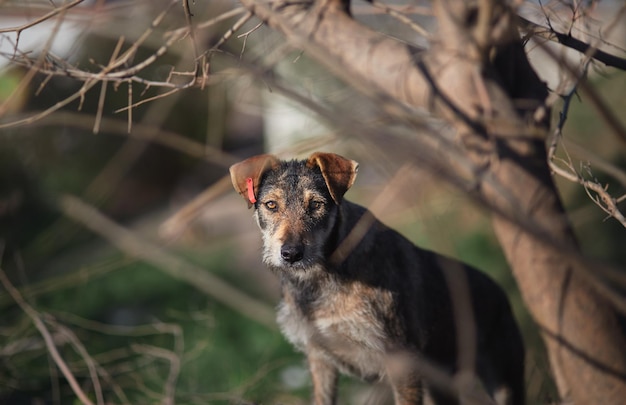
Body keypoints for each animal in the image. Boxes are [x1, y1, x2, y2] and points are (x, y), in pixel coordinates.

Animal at [229, 152, 520, 404]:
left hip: (502, 380)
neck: (319, 279)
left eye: (315, 205)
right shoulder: (320, 359)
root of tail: (502, 294)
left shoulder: (401, 365)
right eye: (271, 205)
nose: (290, 254)